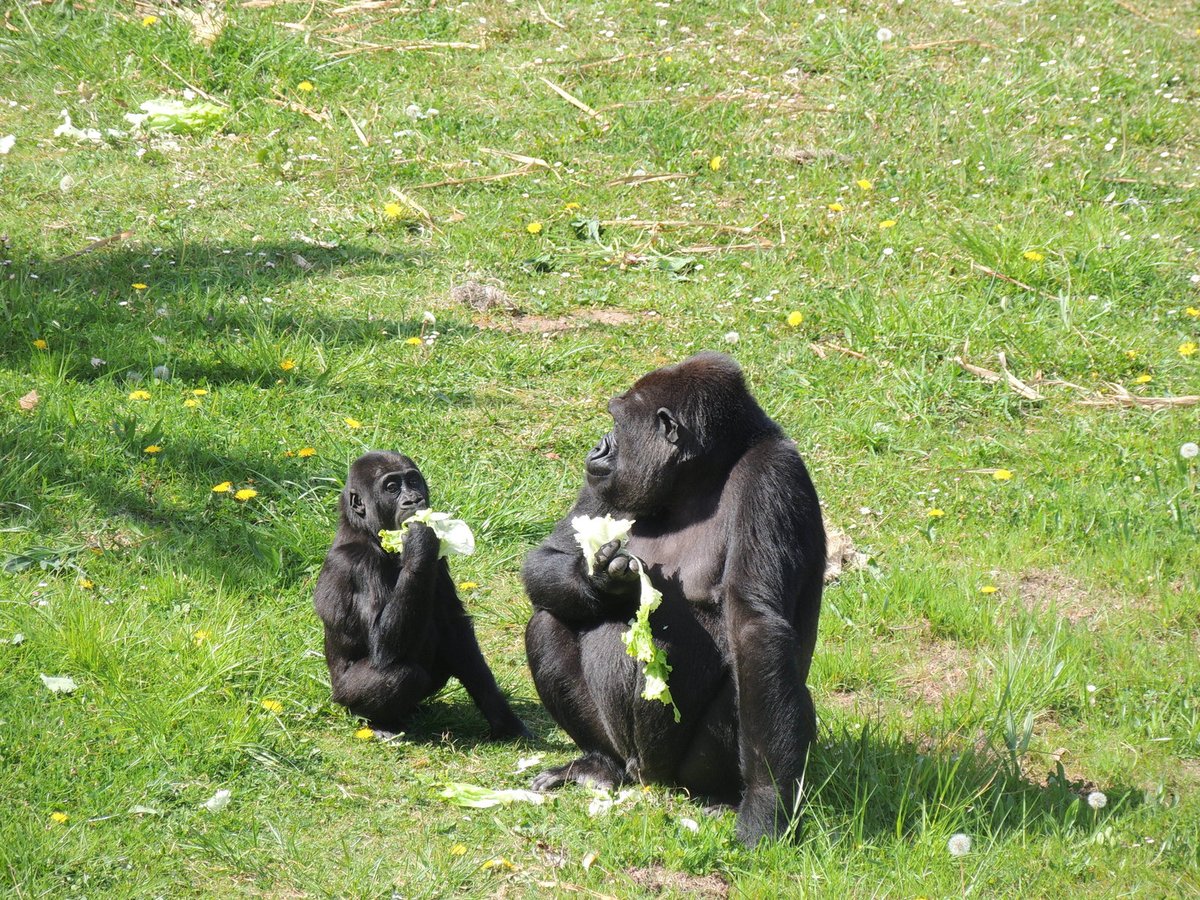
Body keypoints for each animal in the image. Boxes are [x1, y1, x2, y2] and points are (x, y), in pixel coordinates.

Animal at [314, 451, 530, 739]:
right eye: (391, 488)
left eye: (413, 481)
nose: (414, 499)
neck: (366, 533)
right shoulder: (357, 563)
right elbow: (382, 645)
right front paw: (418, 540)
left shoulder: (439, 561)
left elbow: (454, 628)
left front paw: (504, 719)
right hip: (343, 699)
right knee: (400, 675)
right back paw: (383, 722)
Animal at [525, 350, 825, 844]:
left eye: (617, 423)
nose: (598, 447)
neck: (702, 475)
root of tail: (649, 778)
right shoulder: (605, 483)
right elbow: (546, 557)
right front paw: (603, 583)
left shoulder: (773, 476)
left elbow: (756, 630)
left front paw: (766, 806)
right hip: (625, 755)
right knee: (548, 619)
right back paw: (598, 765)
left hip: (684, 774)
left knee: (750, 672)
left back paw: (725, 797)